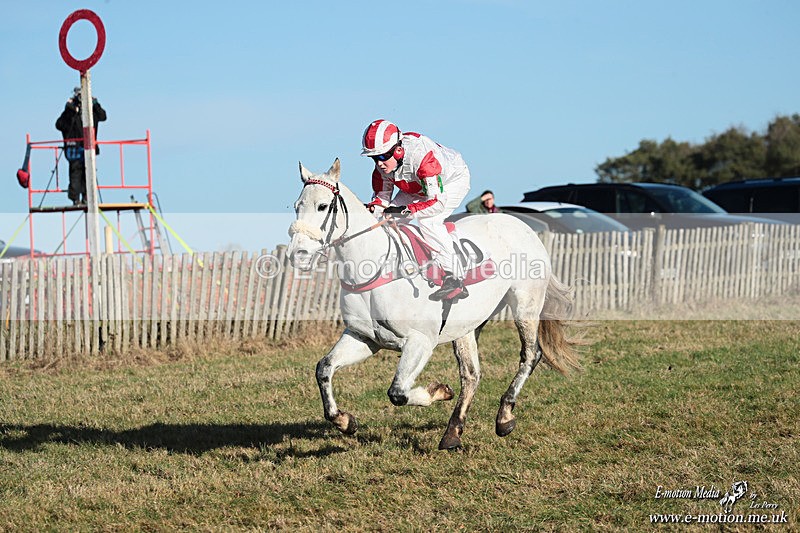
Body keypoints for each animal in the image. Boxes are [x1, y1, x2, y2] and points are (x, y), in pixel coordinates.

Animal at [287, 158, 581, 449]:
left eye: (323, 206)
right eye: (296, 206)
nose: (298, 254)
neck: (376, 267)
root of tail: (522, 226)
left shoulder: (420, 341)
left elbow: (398, 392)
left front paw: (439, 391)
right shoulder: (364, 338)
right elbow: (324, 368)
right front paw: (345, 421)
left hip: (525, 305)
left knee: (530, 355)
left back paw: (505, 416)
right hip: (467, 325)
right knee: (471, 374)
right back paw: (452, 433)